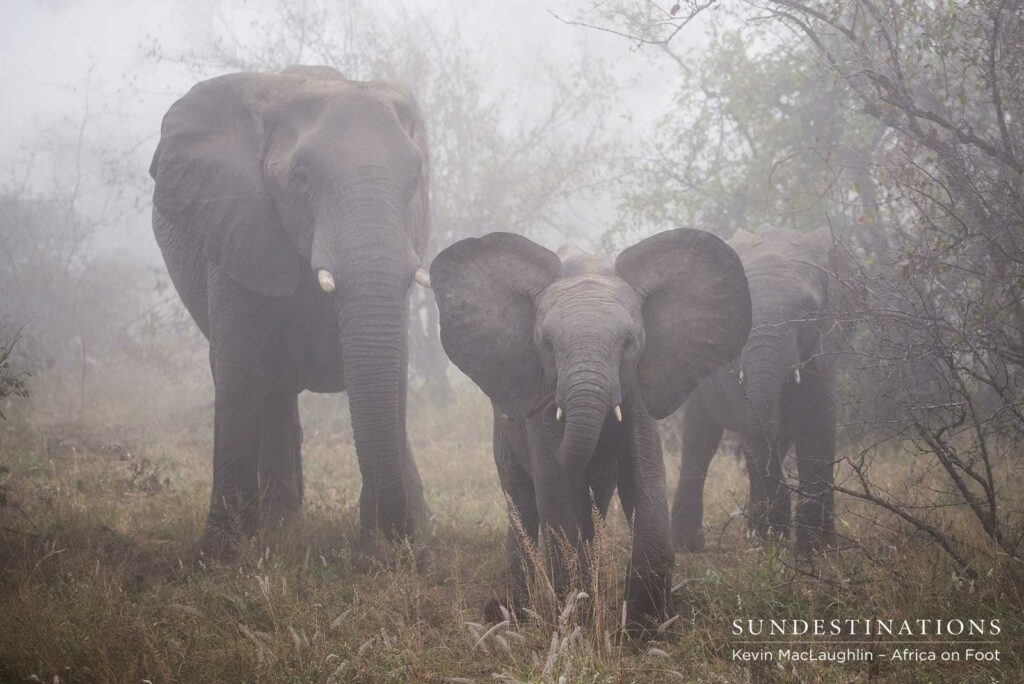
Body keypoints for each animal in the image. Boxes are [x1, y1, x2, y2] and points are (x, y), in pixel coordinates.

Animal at [149, 65, 432, 555]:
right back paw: (279, 523)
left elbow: (393, 368)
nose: (397, 535)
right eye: (300, 179)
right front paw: (220, 553)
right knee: (268, 385)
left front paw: (386, 544)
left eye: (415, 179)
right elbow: (239, 368)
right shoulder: (237, 229)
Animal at [431, 229, 751, 628]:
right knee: (521, 500)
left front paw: (647, 625)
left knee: (592, 497)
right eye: (546, 345)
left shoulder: (637, 382)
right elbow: (554, 486)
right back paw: (509, 613)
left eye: (628, 343)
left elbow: (643, 471)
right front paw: (573, 621)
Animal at [671, 225, 849, 553]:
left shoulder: (823, 347)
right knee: (701, 441)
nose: (783, 534)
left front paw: (817, 548)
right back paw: (696, 545)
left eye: (808, 311)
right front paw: (778, 540)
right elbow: (752, 428)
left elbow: (817, 426)